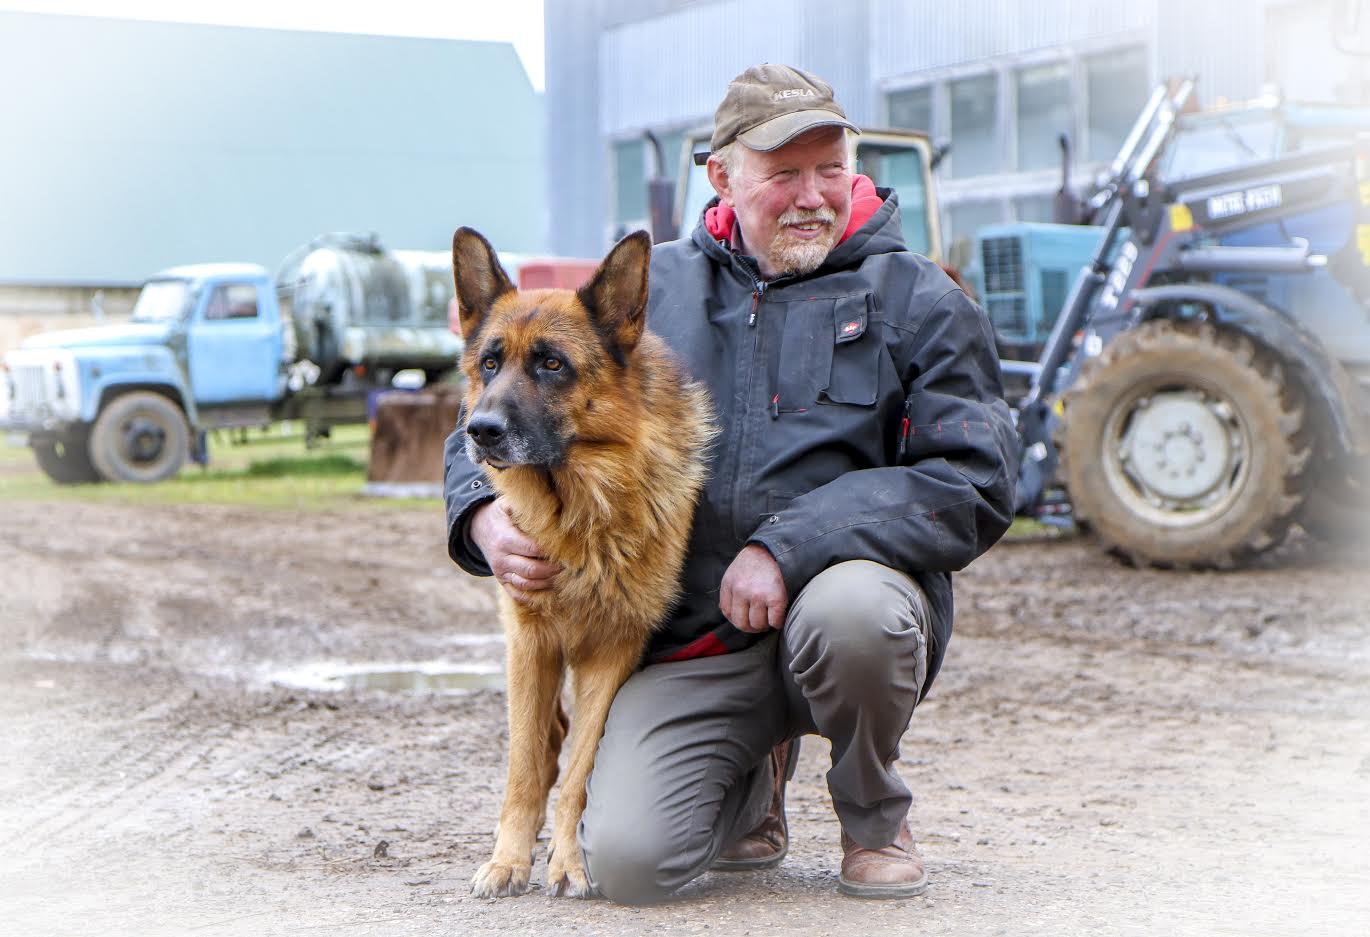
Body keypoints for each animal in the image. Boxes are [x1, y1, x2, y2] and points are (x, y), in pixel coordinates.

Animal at [454, 228, 717, 898]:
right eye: (489, 363)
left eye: (552, 364)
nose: (479, 430)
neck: (578, 508)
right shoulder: (531, 642)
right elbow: (524, 770)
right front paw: (508, 860)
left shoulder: (611, 652)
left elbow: (580, 771)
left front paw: (568, 860)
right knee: (541, 743)